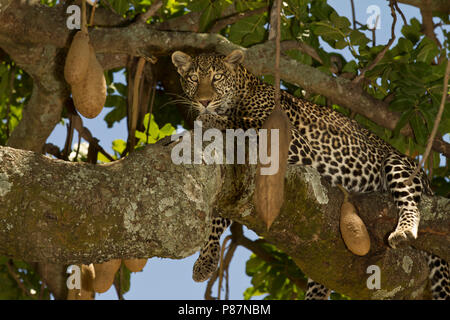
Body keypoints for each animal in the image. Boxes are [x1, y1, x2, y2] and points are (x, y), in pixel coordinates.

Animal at [171, 48, 448, 298]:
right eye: (193, 78)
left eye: (217, 77)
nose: (204, 102)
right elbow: (218, 214)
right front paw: (206, 258)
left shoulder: (292, 143)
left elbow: (238, 127)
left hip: (397, 164)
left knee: (411, 203)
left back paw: (404, 231)